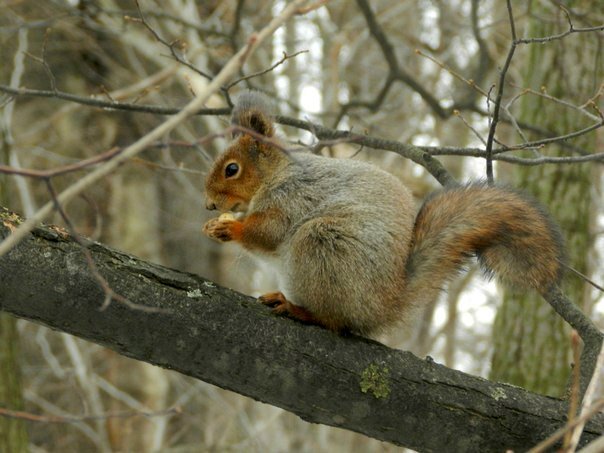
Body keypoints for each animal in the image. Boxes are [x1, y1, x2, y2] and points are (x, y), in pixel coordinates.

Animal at [204, 89, 568, 336]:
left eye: (232, 169)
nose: (209, 204)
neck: (277, 175)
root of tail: (385, 305)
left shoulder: (291, 198)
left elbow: (268, 233)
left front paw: (231, 229)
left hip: (321, 244)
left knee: (335, 321)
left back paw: (298, 308)